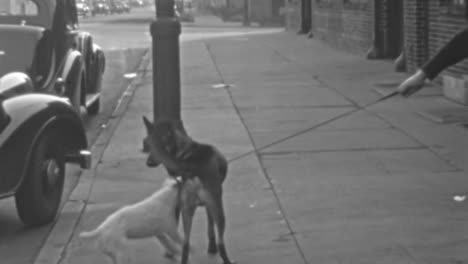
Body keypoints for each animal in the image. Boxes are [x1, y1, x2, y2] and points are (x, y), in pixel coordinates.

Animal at [140, 117, 233, 264]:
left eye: (153, 146)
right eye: (148, 146)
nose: (148, 163)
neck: (184, 150)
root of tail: (193, 167)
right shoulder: (211, 204)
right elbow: (210, 224)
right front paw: (211, 247)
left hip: (186, 210)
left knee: (185, 243)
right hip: (217, 208)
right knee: (221, 243)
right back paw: (226, 258)